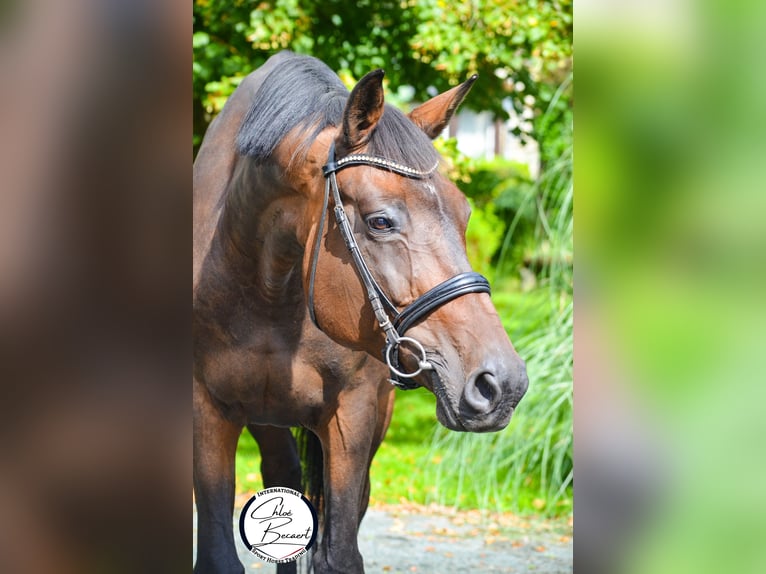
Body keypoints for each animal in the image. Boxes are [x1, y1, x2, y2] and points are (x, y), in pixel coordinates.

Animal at [194, 51, 528, 572]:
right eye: (380, 221)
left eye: (466, 215)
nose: (502, 384)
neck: (269, 293)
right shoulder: (206, 411)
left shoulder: (351, 414)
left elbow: (340, 554)